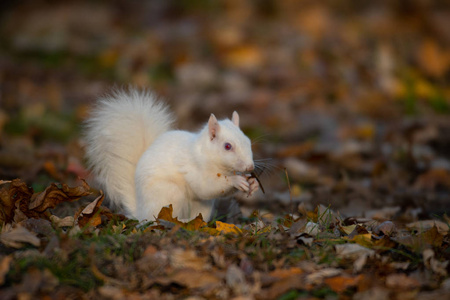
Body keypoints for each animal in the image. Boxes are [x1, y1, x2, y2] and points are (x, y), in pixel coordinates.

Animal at [84, 88, 258, 221]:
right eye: (227, 146)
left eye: (248, 141)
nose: (250, 166)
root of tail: (141, 212)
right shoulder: (193, 168)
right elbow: (206, 186)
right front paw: (236, 180)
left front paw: (253, 184)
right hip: (170, 195)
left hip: (203, 206)